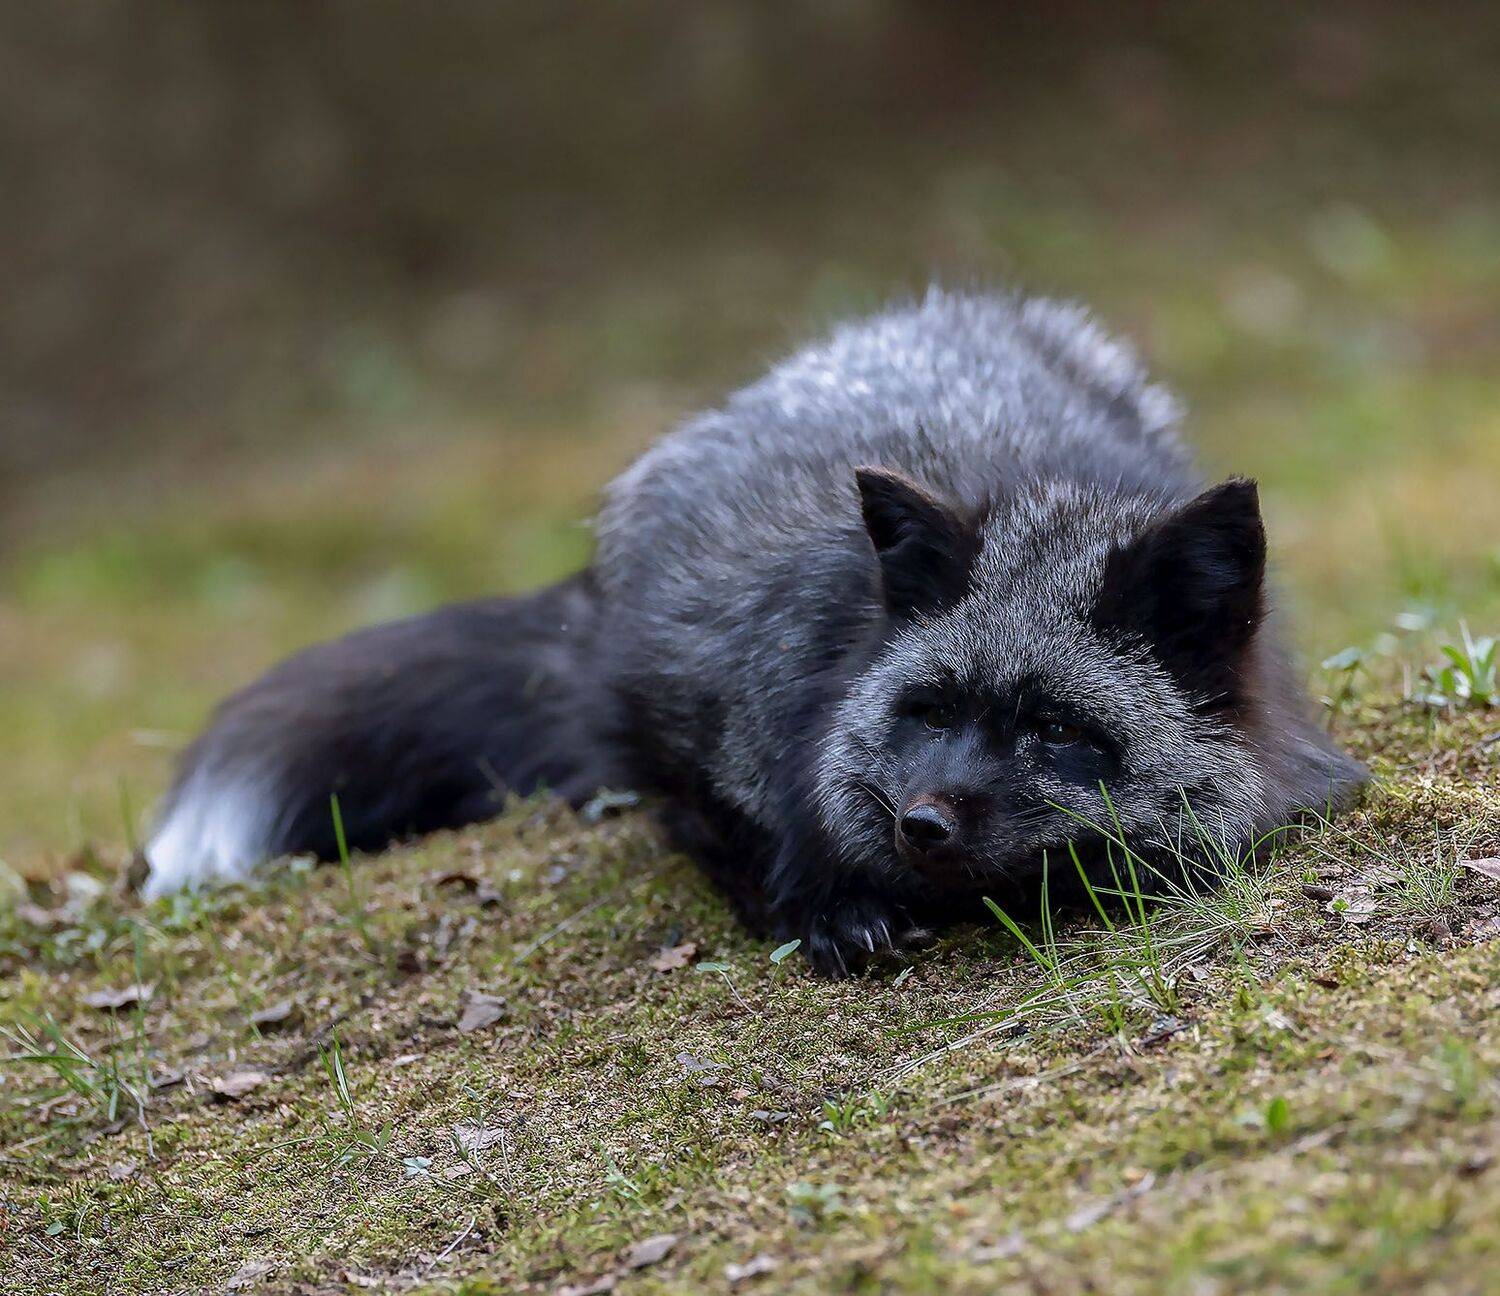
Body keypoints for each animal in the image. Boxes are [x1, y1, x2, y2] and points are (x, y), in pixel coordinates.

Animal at [144, 289, 1364, 974]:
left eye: (1059, 731)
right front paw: (830, 907)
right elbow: (744, 835)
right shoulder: (737, 713)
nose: (922, 822)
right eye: (929, 712)